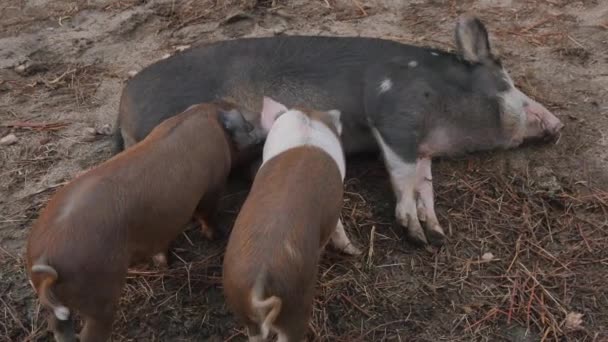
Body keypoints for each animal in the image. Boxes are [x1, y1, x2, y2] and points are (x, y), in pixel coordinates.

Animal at [26, 100, 264, 340]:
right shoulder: (213, 186)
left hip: (58, 307)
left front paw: (164, 261)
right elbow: (207, 215)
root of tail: (45, 256)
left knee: (59, 329)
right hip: (99, 294)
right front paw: (218, 234)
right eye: (248, 124)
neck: (206, 115)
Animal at [116, 15, 564, 246]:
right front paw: (416, 236)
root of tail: (123, 100)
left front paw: (434, 231)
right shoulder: (392, 111)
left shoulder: (423, 149)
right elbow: (402, 174)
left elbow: (426, 184)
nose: (558, 125)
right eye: (506, 81)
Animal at [223, 97, 360, 342]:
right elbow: (339, 229)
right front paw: (356, 251)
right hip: (295, 302)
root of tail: (260, 279)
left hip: (242, 303)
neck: (306, 134)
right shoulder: (335, 208)